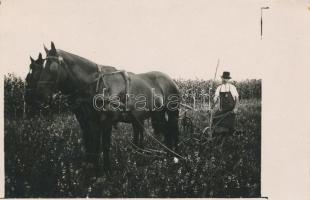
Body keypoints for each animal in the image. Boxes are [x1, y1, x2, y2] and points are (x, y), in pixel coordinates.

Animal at [34, 41, 179, 173]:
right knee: (167, 131)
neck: (96, 84)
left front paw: (107, 170)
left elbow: (105, 144)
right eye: (41, 67)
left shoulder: (107, 120)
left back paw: (174, 157)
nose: (39, 94)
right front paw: (94, 168)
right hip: (157, 114)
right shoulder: (91, 120)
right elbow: (94, 143)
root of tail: (170, 80)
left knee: (172, 131)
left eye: (52, 68)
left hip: (171, 112)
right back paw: (167, 156)